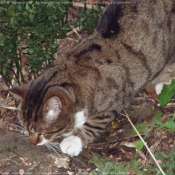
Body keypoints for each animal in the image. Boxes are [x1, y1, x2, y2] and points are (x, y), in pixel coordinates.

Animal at [1, 0, 175, 156]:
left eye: (42, 132)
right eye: (25, 128)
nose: (32, 142)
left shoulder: (112, 102)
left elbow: (93, 125)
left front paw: (73, 141)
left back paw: (163, 82)